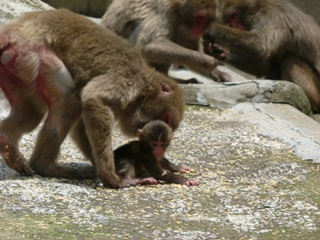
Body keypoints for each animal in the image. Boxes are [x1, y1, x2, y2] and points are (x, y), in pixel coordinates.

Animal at [0, 8, 185, 188]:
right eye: (166, 119)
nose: (150, 133)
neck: (144, 86)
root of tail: (10, 32)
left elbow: (82, 121)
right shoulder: (129, 79)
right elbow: (94, 98)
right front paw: (112, 177)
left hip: (17, 68)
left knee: (31, 115)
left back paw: (6, 139)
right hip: (32, 54)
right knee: (69, 97)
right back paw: (44, 166)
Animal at [101, 0, 231, 83]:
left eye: (206, 20)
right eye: (200, 18)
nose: (200, 30)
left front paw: (217, 72)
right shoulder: (162, 9)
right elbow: (148, 45)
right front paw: (208, 61)